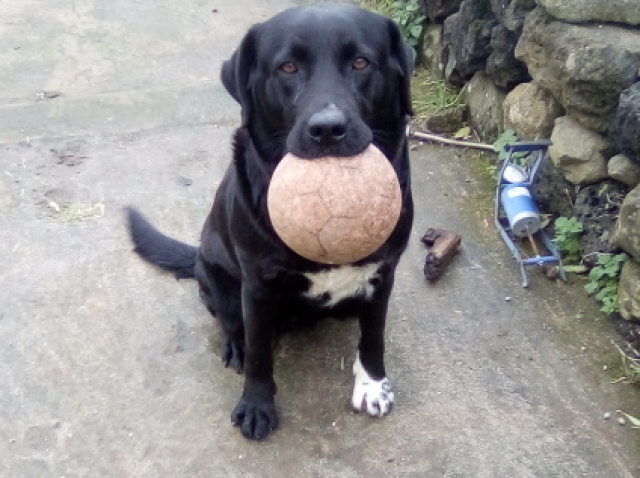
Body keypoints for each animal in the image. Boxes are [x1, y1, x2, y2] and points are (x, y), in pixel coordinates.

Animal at [126, 2, 416, 440]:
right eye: (288, 67)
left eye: (361, 62)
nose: (328, 129)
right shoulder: (258, 285)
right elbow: (261, 353)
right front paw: (256, 405)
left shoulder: (383, 273)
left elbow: (374, 337)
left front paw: (372, 386)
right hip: (217, 279)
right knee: (232, 322)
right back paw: (236, 345)